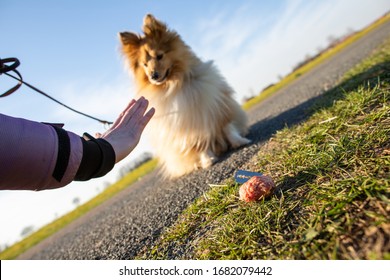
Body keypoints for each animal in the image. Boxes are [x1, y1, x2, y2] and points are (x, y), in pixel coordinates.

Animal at [120, 14, 251, 177]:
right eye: (145, 64)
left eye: (159, 56)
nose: (153, 76)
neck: (176, 83)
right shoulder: (185, 123)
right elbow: (197, 144)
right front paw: (207, 160)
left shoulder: (216, 103)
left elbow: (226, 126)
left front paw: (240, 141)